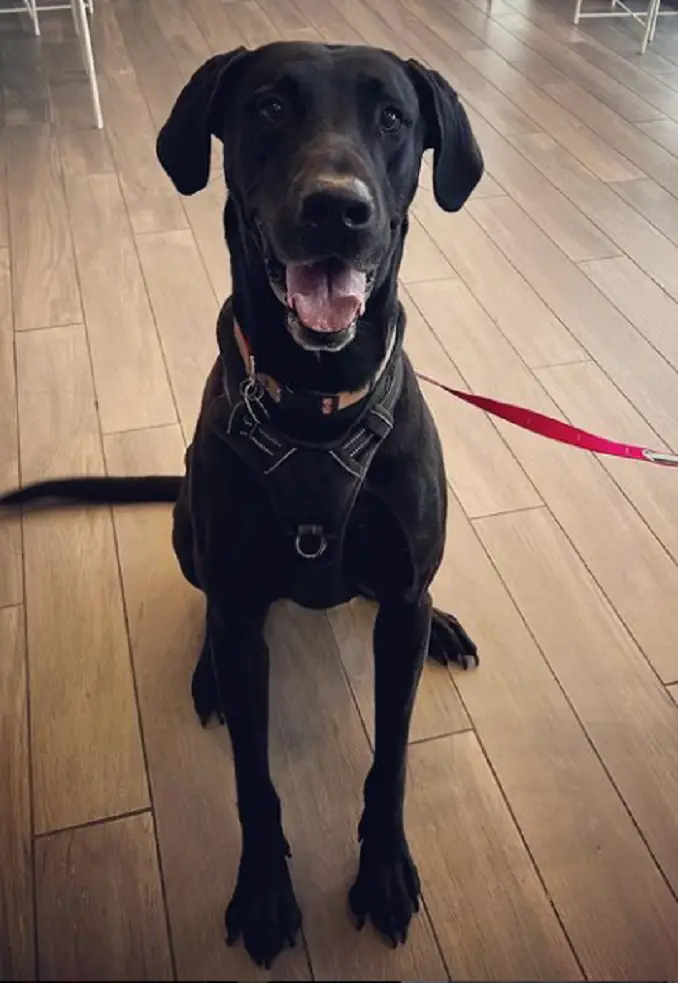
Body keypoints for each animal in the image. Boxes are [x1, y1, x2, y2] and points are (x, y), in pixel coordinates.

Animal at [2, 44, 486, 968]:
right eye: (268, 107)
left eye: (393, 117)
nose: (336, 209)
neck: (314, 402)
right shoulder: (233, 589)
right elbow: (254, 780)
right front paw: (263, 892)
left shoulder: (400, 600)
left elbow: (392, 756)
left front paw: (383, 869)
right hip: (189, 533)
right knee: (217, 619)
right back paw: (211, 673)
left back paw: (443, 623)